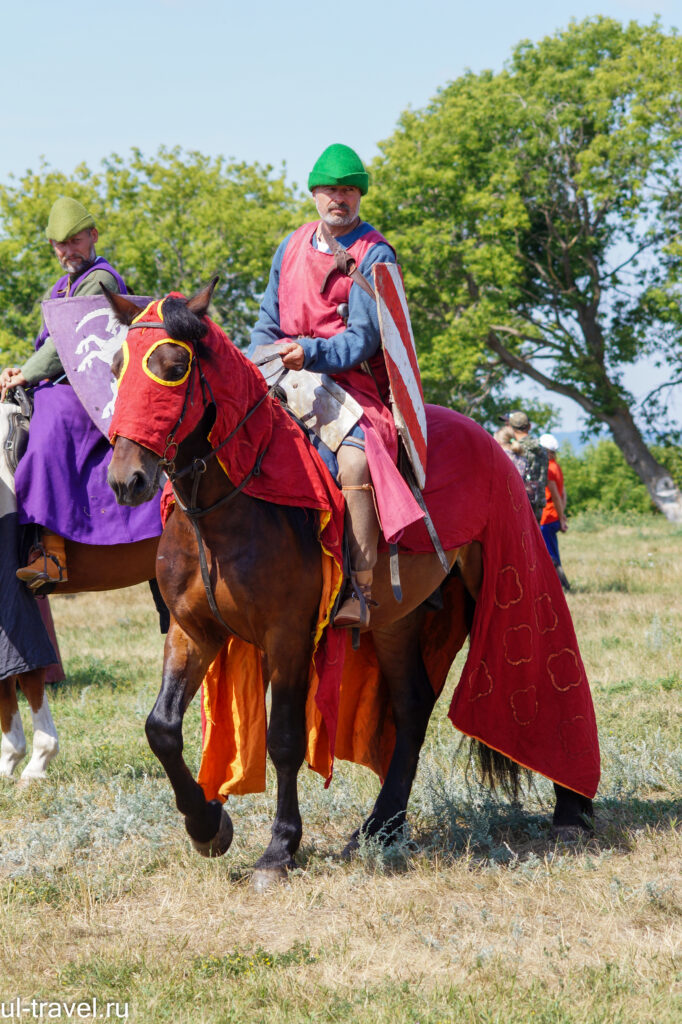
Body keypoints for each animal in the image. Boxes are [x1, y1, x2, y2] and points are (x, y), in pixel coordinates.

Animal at [104, 280, 593, 888]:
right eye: (117, 368)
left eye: (173, 367)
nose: (127, 480)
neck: (228, 510)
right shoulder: (193, 631)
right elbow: (162, 728)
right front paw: (208, 826)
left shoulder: (288, 636)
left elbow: (285, 740)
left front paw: (279, 849)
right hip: (398, 621)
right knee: (412, 705)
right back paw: (382, 827)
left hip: (506, 574)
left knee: (543, 667)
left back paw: (571, 808)